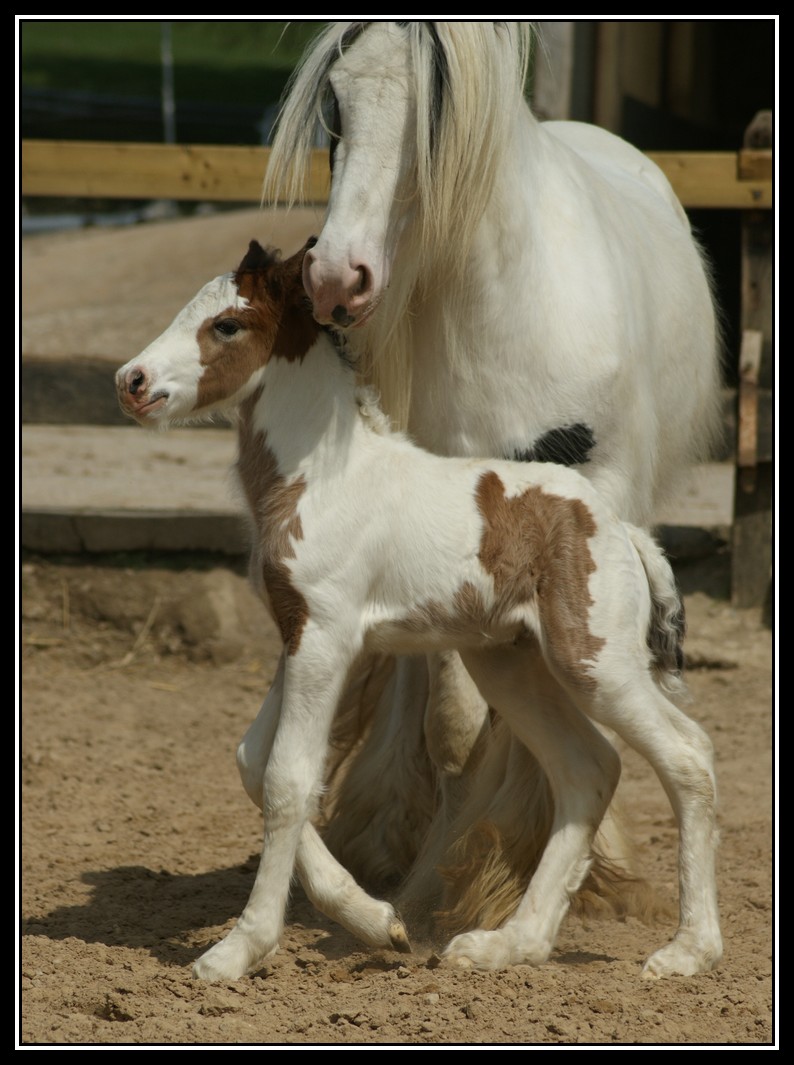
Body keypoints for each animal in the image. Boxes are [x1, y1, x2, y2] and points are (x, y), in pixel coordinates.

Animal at [116, 239, 719, 979]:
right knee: (588, 768)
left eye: (227, 324)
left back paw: (688, 951)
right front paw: (377, 921)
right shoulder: (297, 633)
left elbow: (288, 777)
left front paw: (237, 949)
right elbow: (253, 761)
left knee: (687, 755)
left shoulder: (326, 638)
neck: (326, 476)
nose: (131, 381)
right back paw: (508, 944)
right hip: (510, 662)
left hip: (594, 662)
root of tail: (622, 528)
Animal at [261, 20, 723, 937]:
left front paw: (507, 874)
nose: (334, 278)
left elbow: (518, 729)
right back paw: (395, 837)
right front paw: (436, 880)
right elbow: (454, 717)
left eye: (435, 116)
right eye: (335, 105)